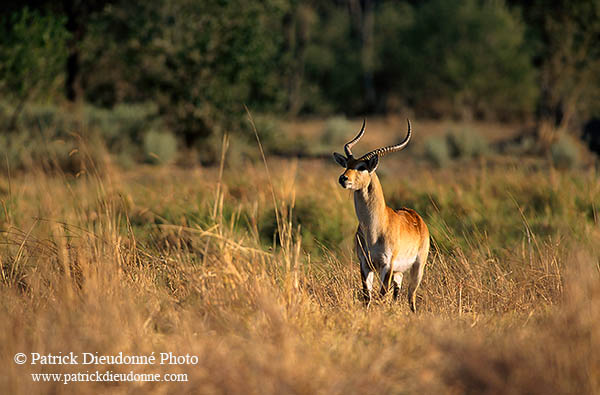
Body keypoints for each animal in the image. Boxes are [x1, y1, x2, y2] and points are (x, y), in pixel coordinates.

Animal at [336, 120, 428, 312]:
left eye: (362, 167)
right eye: (347, 163)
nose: (343, 178)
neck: (376, 228)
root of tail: (416, 216)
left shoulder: (387, 265)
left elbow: (381, 295)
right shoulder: (365, 264)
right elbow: (367, 296)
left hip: (417, 268)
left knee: (411, 298)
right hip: (399, 273)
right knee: (397, 294)